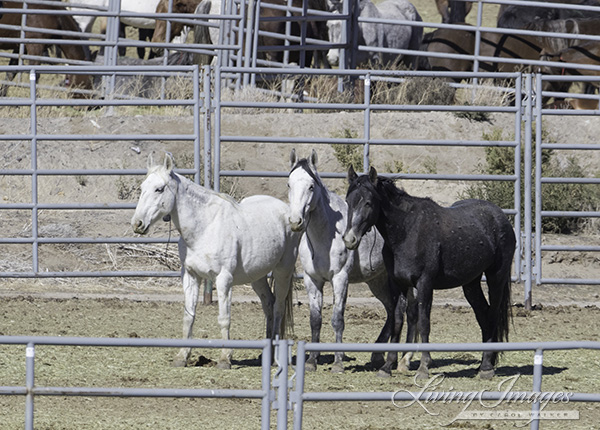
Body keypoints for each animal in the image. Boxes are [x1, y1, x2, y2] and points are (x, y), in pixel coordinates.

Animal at [132, 155, 300, 370]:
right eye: (142, 187)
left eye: (159, 189)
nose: (137, 224)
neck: (205, 227)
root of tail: (289, 213)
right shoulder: (190, 276)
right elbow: (188, 316)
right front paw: (182, 356)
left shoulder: (223, 279)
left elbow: (224, 318)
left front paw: (225, 359)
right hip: (257, 276)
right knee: (268, 304)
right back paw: (267, 355)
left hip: (283, 271)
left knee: (278, 307)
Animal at [288, 149, 414, 372]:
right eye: (289, 184)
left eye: (311, 186)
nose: (296, 221)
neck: (326, 234)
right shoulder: (312, 280)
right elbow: (315, 320)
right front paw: (311, 361)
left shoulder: (340, 278)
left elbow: (337, 319)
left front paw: (338, 362)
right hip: (378, 281)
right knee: (392, 310)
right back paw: (378, 355)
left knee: (408, 311)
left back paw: (405, 359)